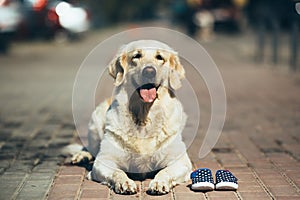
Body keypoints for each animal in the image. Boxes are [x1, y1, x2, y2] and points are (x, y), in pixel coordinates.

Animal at [69, 39, 192, 195]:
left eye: (160, 57)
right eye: (136, 56)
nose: (149, 71)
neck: (144, 116)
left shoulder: (180, 160)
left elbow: (165, 171)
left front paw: (159, 183)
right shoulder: (104, 160)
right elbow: (117, 172)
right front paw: (125, 183)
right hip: (95, 122)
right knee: (91, 148)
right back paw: (81, 156)